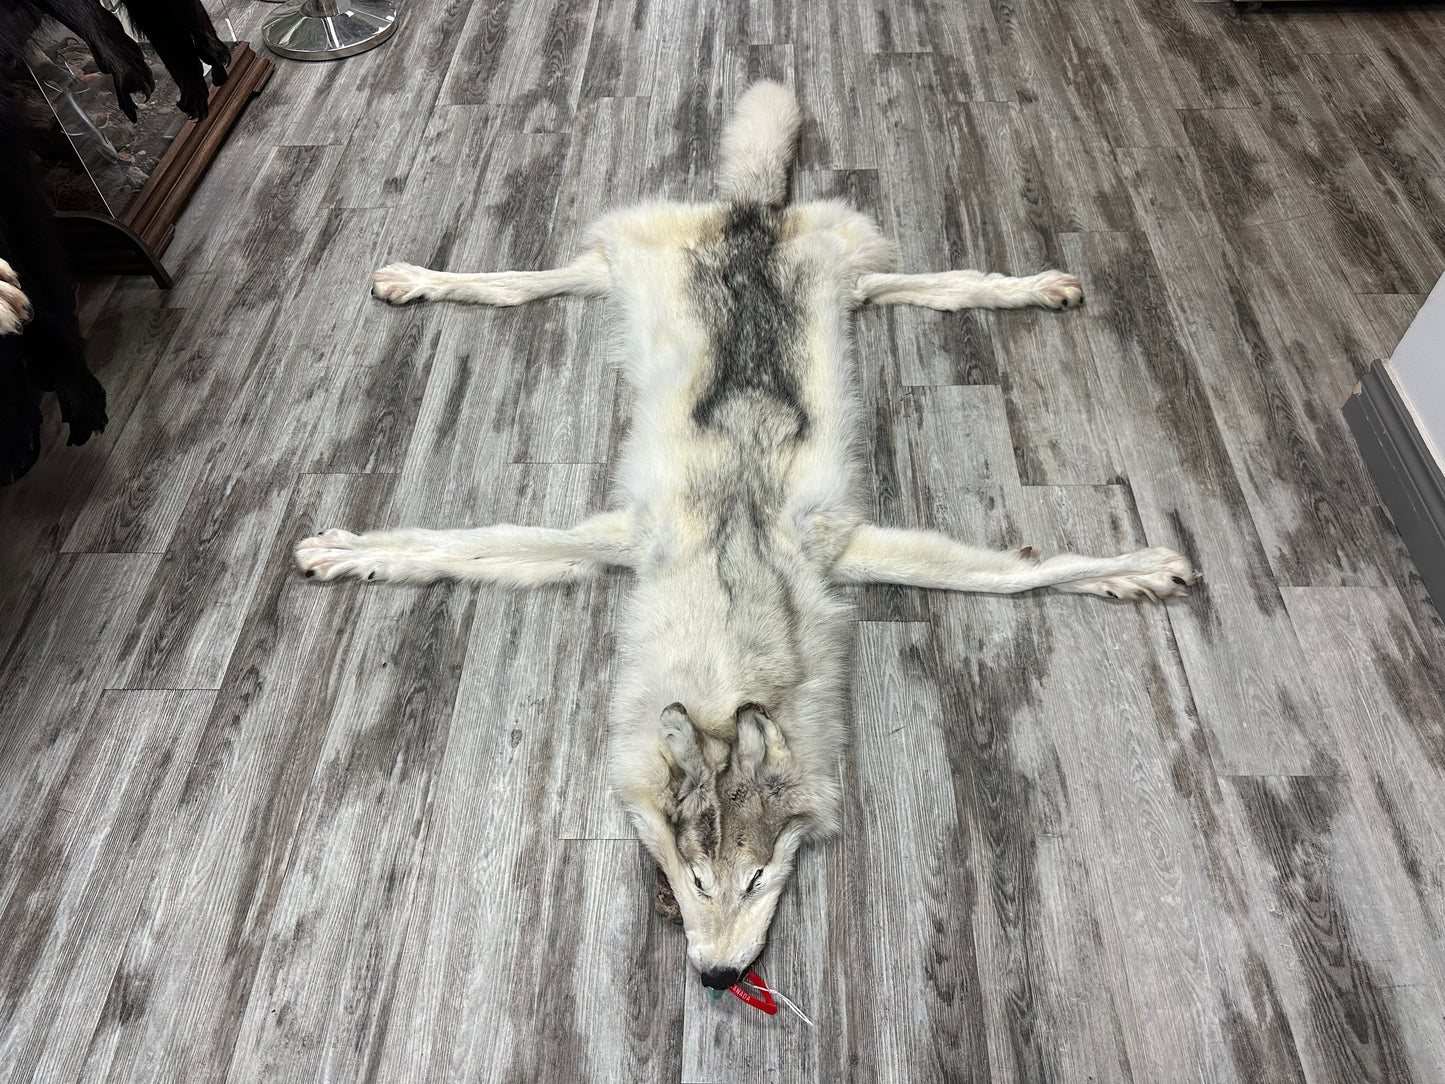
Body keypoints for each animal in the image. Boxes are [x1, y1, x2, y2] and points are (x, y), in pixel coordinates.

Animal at [295, 82, 1197, 991]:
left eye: (756, 878)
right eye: (697, 880)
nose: (718, 979)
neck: (734, 569)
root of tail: (751, 213)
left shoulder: (842, 544)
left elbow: (1012, 574)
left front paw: (1134, 569)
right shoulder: (615, 538)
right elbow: (446, 545)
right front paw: (345, 551)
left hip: (839, 277)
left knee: (934, 283)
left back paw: (1035, 286)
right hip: (629, 267)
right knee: (519, 282)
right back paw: (415, 279)